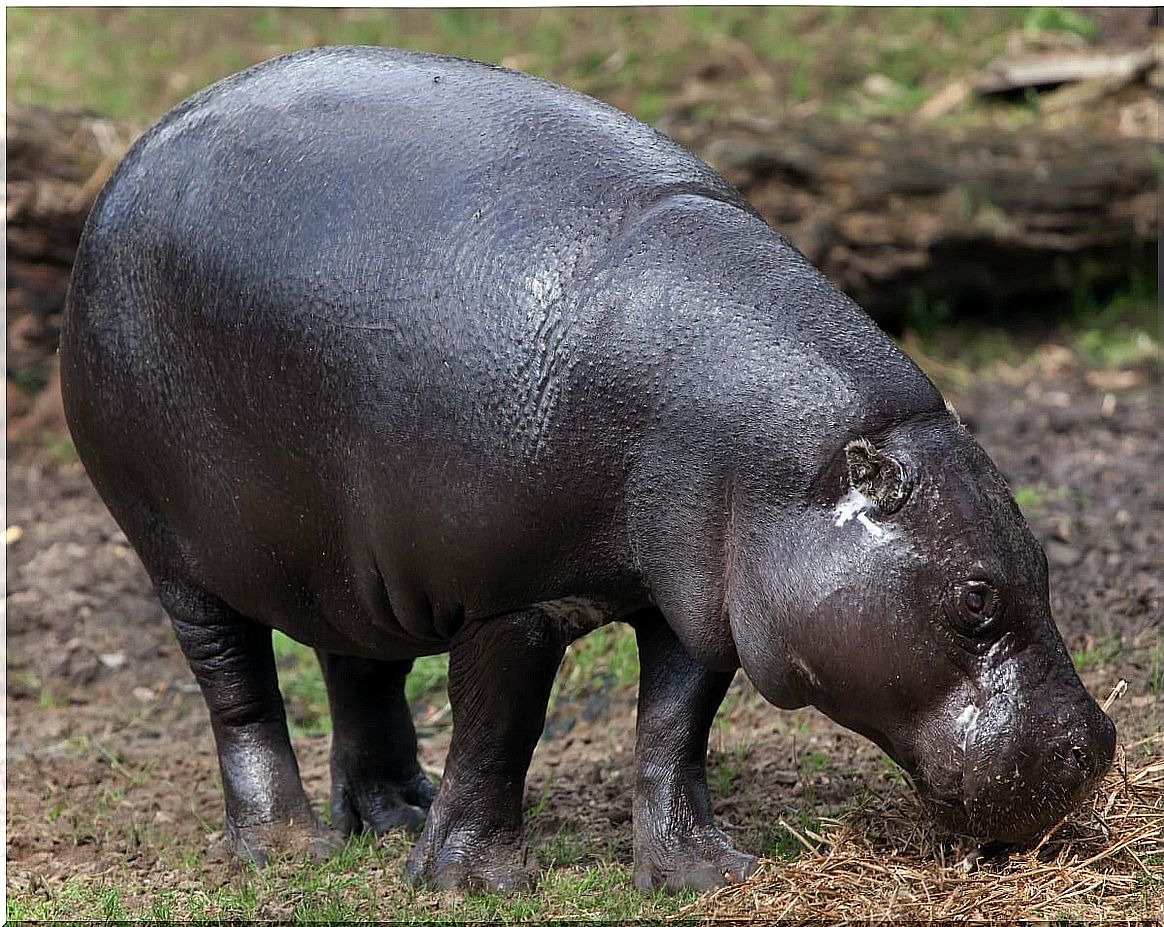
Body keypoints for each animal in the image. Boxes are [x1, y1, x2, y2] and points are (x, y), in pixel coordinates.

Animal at [59, 47, 1112, 894]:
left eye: (1045, 561)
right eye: (975, 596)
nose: (1096, 747)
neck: (780, 459)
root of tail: (136, 154)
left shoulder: (694, 593)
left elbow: (673, 733)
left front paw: (704, 873)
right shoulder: (510, 598)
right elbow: (500, 731)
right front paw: (474, 883)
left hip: (350, 553)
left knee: (359, 670)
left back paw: (395, 815)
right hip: (177, 552)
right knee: (238, 691)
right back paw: (288, 849)